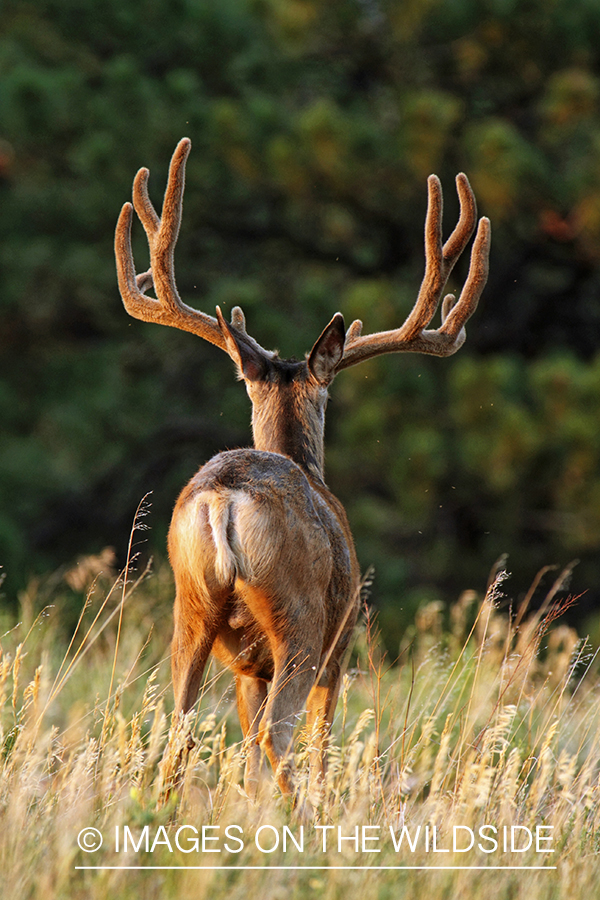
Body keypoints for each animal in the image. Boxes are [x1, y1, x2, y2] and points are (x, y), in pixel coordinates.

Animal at [115, 139, 490, 808]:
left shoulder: (246, 668)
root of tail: (223, 499)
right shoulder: (342, 645)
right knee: (277, 735)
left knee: (179, 727)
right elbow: (320, 746)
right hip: (303, 621)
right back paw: (303, 815)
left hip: (191, 604)